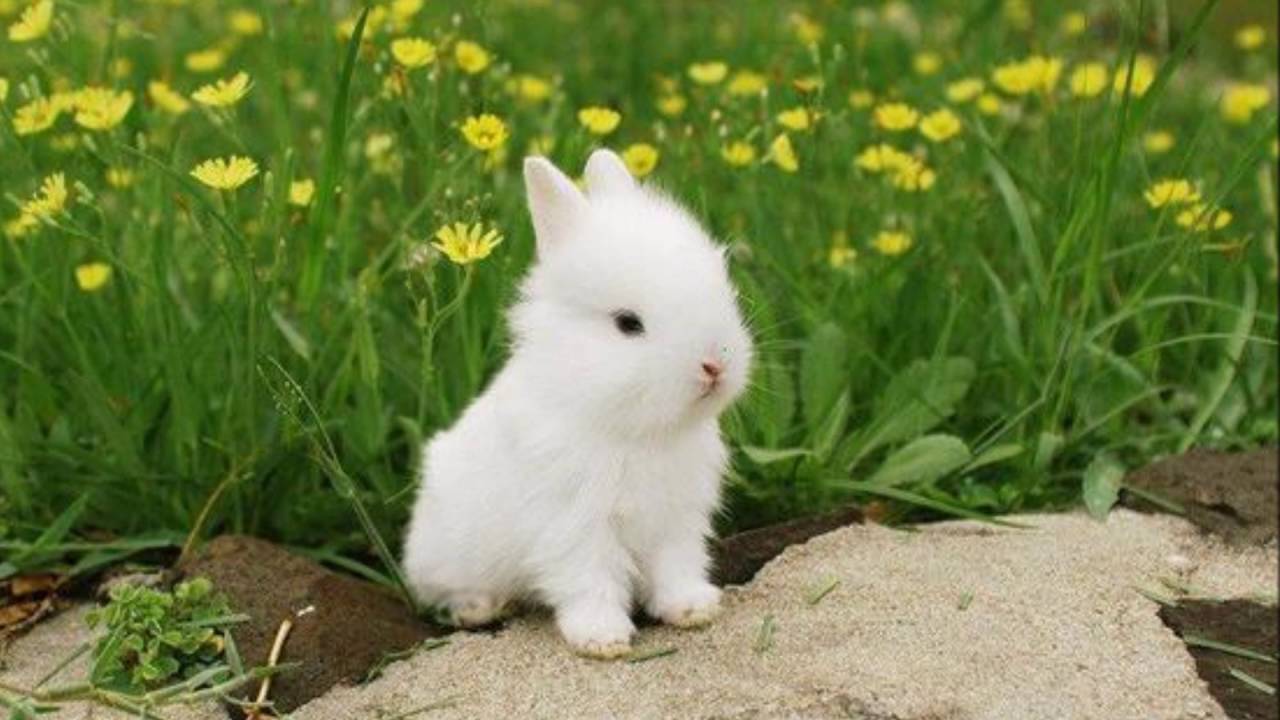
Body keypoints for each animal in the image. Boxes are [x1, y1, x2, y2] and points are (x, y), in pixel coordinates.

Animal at [401, 149, 753, 658]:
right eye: (628, 324)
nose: (715, 365)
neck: (634, 430)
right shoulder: (575, 526)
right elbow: (590, 581)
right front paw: (601, 639)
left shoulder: (676, 519)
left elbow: (676, 567)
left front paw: (692, 609)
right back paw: (479, 608)